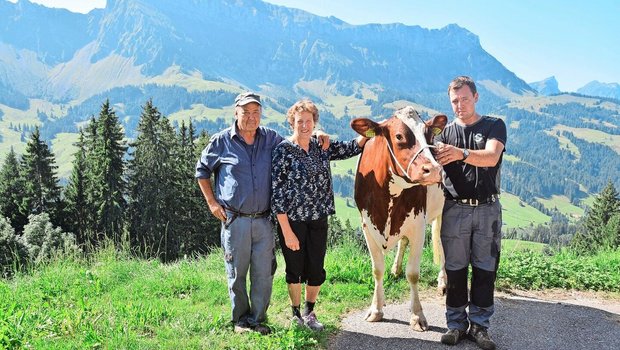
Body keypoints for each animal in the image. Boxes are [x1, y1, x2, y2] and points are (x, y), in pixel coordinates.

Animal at [352, 106, 448, 330]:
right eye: (399, 136)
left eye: (428, 134)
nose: (434, 170)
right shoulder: (367, 226)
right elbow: (377, 270)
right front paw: (376, 309)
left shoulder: (418, 225)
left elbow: (413, 273)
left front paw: (417, 315)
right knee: (403, 242)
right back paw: (395, 269)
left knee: (442, 242)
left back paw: (442, 282)